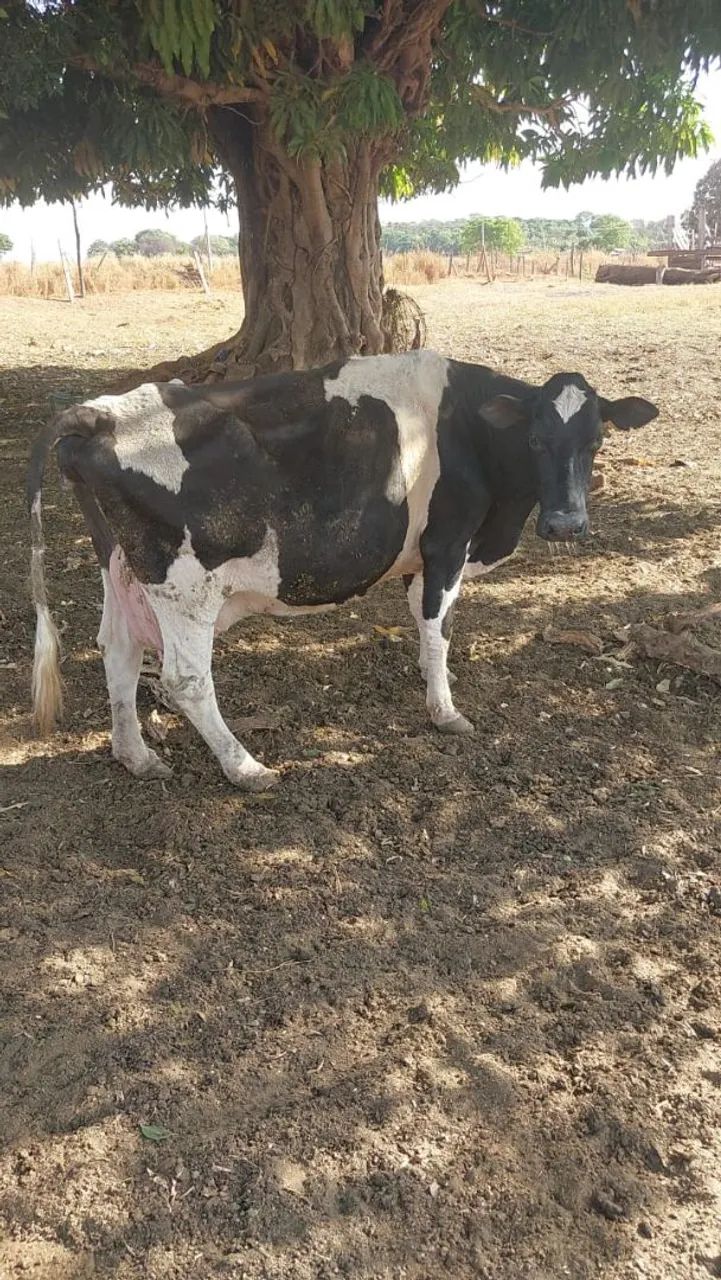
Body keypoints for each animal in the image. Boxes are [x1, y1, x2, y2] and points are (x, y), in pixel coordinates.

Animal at [28, 351, 658, 790]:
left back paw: (135, 755)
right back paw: (246, 768)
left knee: (118, 651)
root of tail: (100, 413)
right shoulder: (447, 545)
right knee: (184, 678)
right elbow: (439, 629)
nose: (566, 524)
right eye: (534, 439)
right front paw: (446, 711)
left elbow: (427, 625)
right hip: (186, 586)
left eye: (596, 440)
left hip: (122, 567)